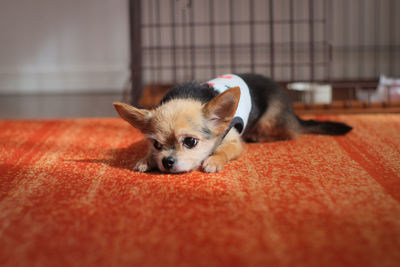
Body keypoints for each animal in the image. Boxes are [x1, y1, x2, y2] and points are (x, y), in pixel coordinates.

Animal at [112, 73, 350, 174]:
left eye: (190, 142)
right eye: (156, 144)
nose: (167, 162)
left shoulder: (234, 141)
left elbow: (223, 151)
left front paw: (213, 160)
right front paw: (147, 159)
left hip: (271, 121)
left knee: (291, 133)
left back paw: (258, 135)